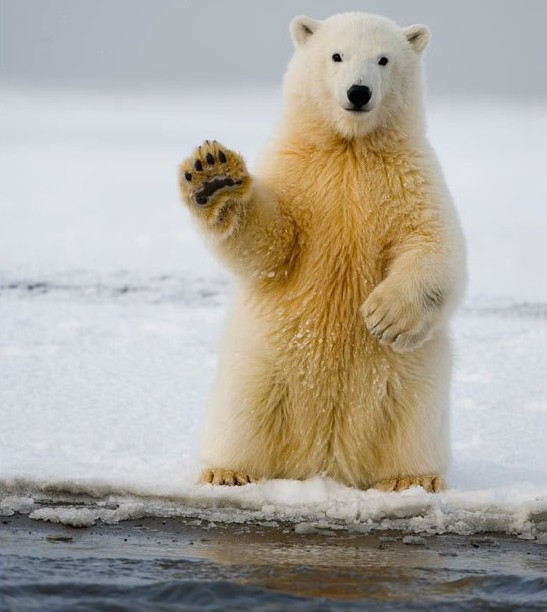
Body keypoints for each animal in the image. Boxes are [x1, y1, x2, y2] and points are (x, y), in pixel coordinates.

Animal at [180, 11, 466, 492]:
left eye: (383, 59)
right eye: (337, 55)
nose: (359, 91)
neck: (350, 147)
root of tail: (326, 460)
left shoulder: (412, 178)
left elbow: (432, 244)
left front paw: (385, 317)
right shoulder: (298, 172)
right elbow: (273, 244)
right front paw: (214, 177)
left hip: (413, 382)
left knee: (412, 421)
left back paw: (410, 480)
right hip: (260, 367)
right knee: (242, 414)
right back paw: (227, 471)